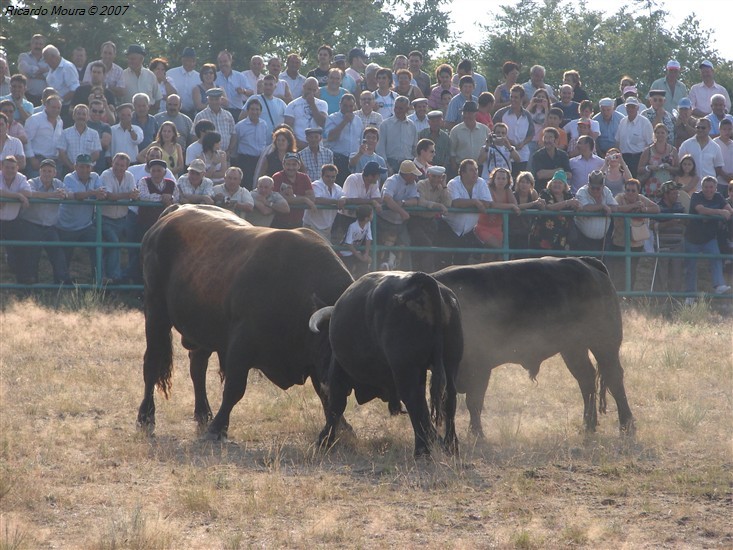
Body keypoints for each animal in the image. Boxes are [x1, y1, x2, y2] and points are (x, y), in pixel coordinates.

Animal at [139, 205, 356, 442]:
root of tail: (176, 209)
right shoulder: (241, 345)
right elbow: (235, 388)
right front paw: (218, 427)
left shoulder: (315, 360)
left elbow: (325, 396)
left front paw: (343, 426)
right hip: (156, 312)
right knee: (152, 363)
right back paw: (146, 416)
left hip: (203, 331)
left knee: (197, 367)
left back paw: (203, 413)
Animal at [434, 258, 636, 440]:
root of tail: (587, 264)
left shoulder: (480, 367)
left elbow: (474, 402)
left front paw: (477, 434)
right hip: (573, 348)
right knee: (586, 380)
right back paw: (588, 425)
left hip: (604, 344)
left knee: (614, 378)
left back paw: (626, 427)